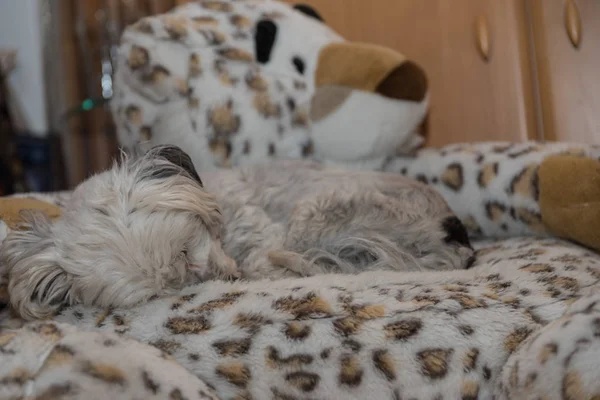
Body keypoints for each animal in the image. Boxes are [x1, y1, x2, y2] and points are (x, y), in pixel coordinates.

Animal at [2, 145, 476, 320]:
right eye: (161, 292)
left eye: (187, 249)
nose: (227, 278)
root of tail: (453, 235)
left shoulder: (261, 228)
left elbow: (264, 255)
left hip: (314, 212)